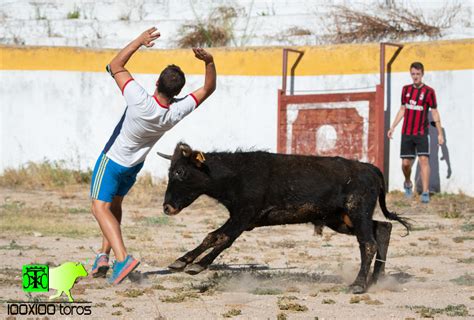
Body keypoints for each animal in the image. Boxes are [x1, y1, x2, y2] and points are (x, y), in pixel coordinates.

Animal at [159, 144, 412, 294]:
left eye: (180, 172)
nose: (167, 207)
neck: (235, 174)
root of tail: (370, 169)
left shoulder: (244, 216)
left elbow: (221, 237)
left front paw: (196, 266)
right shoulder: (240, 217)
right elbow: (212, 237)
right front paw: (181, 261)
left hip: (357, 211)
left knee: (368, 243)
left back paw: (359, 284)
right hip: (342, 219)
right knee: (383, 228)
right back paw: (377, 279)